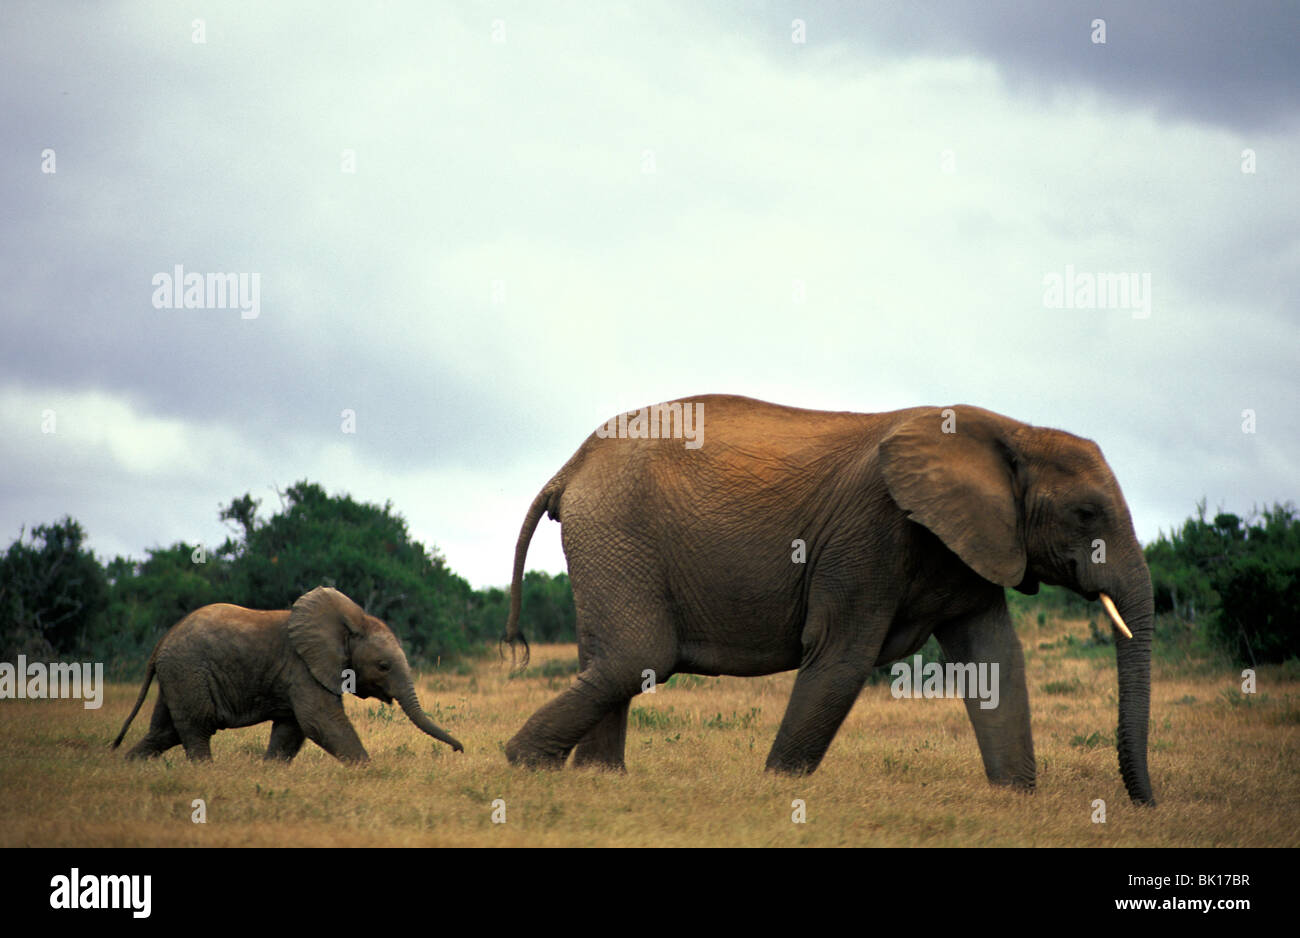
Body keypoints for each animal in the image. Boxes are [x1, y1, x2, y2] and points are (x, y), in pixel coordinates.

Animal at [114, 587, 465, 763]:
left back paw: (128, 766)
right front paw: (369, 773)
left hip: (178, 674)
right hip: (189, 670)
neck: (350, 624)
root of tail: (162, 642)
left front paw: (270, 772)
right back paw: (206, 773)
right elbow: (320, 721)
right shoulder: (303, 667)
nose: (459, 750)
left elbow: (291, 730)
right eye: (383, 666)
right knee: (197, 727)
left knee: (165, 731)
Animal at [504, 389, 1159, 800]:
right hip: (617, 528)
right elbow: (843, 657)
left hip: (608, 539)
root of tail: (570, 467)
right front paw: (776, 791)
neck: (1012, 431)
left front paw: (1017, 800)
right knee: (636, 657)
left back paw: (597, 782)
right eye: (1086, 514)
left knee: (611, 660)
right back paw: (523, 767)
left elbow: (994, 661)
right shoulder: (870, 532)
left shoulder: (967, 547)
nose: (1145, 804)